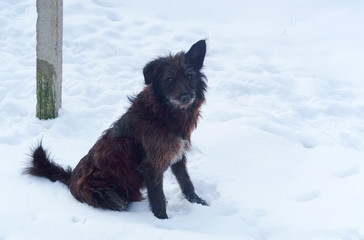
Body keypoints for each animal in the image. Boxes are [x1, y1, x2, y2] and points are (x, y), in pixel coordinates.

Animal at [25, 39, 208, 219]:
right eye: (170, 78)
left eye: (189, 76)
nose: (186, 97)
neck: (163, 113)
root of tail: (70, 180)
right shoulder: (152, 165)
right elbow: (158, 198)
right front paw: (163, 221)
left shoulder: (178, 154)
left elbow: (186, 181)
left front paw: (198, 202)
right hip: (107, 194)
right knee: (120, 204)